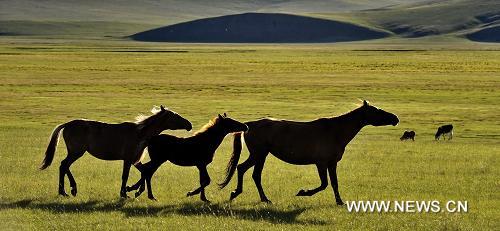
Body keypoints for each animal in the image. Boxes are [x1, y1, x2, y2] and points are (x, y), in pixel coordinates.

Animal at [38, 105, 191, 198]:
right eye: (175, 116)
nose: (189, 125)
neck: (140, 134)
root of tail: (67, 124)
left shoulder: (135, 160)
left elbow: (144, 172)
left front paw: (136, 190)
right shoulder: (128, 159)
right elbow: (125, 176)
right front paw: (125, 193)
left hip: (75, 152)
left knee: (65, 166)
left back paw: (69, 190)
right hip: (76, 152)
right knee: (64, 165)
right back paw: (67, 190)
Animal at [219, 100, 398, 205]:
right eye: (377, 111)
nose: (395, 118)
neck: (335, 131)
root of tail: (248, 125)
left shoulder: (332, 163)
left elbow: (334, 183)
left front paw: (340, 202)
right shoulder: (321, 163)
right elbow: (324, 184)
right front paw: (303, 192)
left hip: (261, 155)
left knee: (250, 173)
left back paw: (258, 197)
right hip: (259, 154)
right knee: (246, 170)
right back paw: (242, 194)